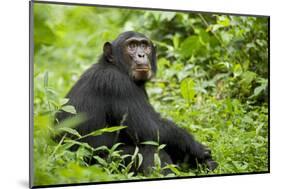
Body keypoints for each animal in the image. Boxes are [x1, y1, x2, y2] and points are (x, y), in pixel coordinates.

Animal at [54, 31, 217, 174]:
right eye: (131, 46)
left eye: (144, 46)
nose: (141, 54)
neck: (117, 67)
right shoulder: (118, 84)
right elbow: (150, 128)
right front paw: (198, 148)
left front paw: (204, 162)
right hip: (99, 165)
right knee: (150, 150)